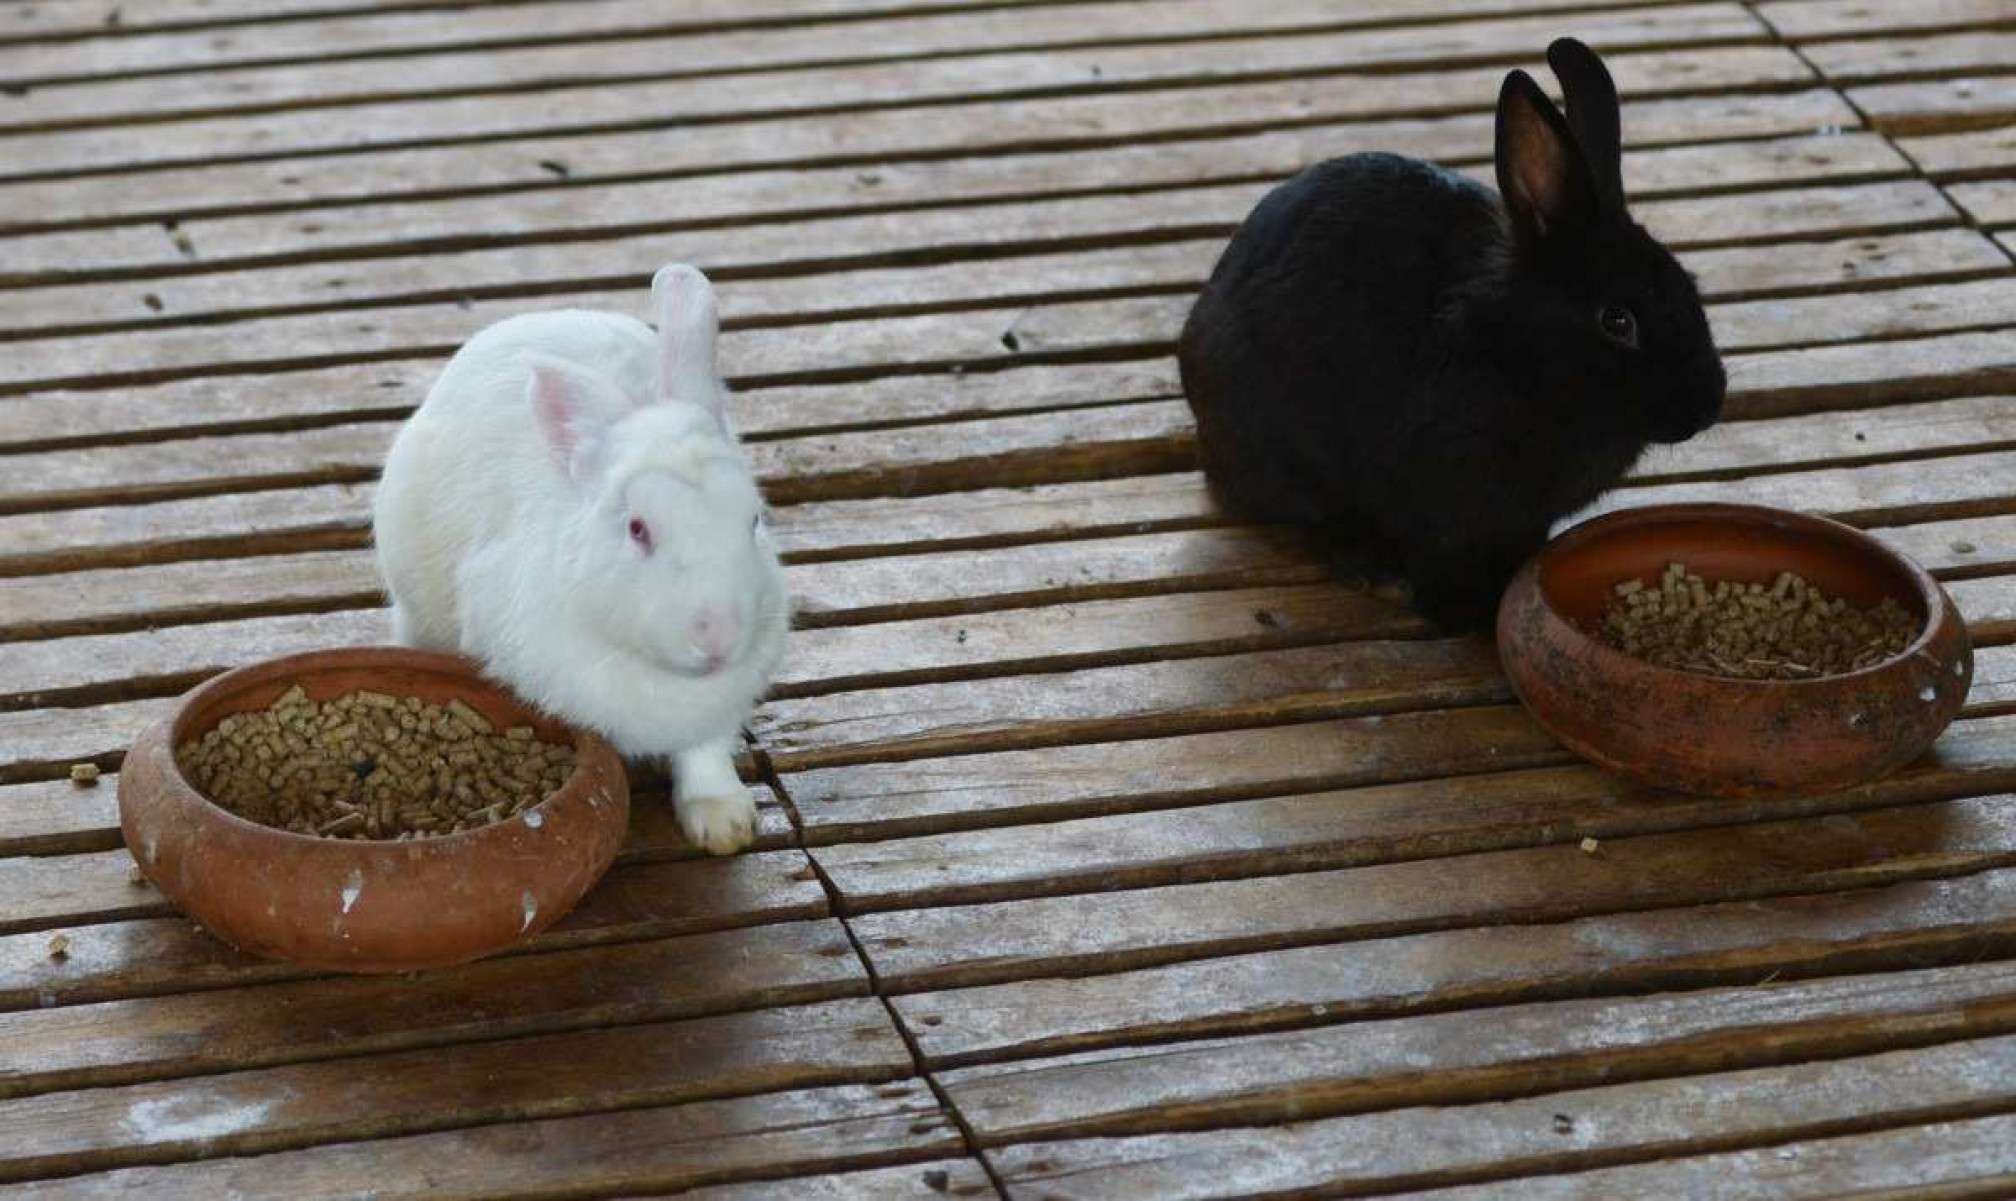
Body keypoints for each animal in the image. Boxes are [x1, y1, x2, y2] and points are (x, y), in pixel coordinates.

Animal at [370, 261, 786, 854]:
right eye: (637, 529)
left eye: (752, 520)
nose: (719, 637)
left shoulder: (717, 708)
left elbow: (703, 755)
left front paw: (723, 823)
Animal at [1177, 39, 1733, 628]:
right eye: (1617, 320)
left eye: (1690, 286)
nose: (1707, 405)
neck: (1516, 356)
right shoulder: (1436, 514)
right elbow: (1441, 561)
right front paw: (1464, 615)